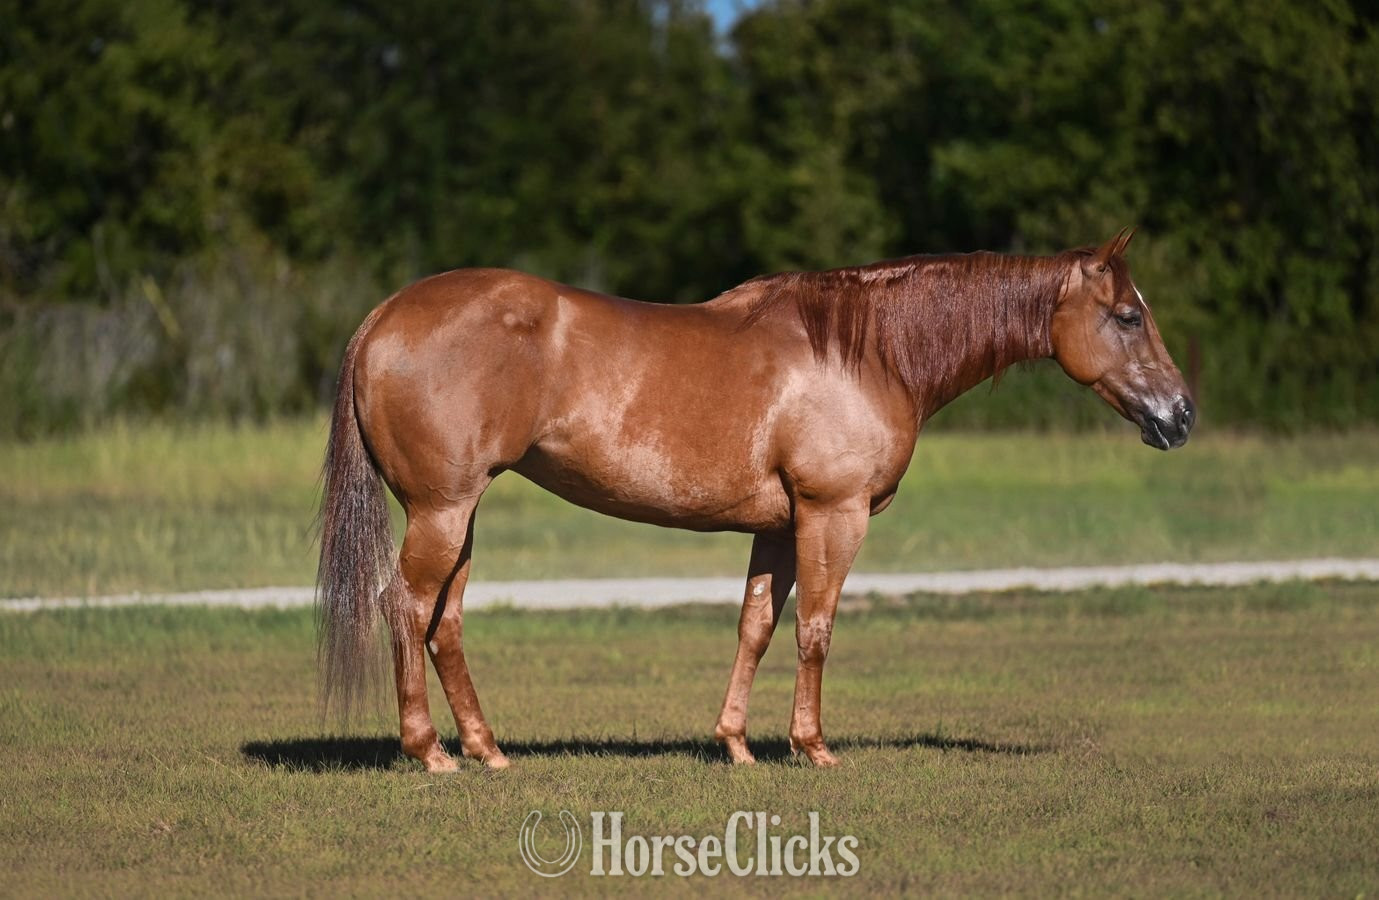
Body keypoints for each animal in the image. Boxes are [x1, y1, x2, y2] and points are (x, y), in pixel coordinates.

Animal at [316, 228, 1194, 772]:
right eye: (1127, 315)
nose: (1180, 415)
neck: (865, 352)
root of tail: (384, 317)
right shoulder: (832, 515)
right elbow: (814, 631)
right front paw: (812, 746)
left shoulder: (778, 528)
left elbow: (756, 627)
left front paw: (735, 744)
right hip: (441, 510)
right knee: (406, 606)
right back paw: (430, 751)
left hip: (459, 515)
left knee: (445, 621)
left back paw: (488, 749)